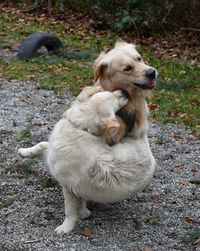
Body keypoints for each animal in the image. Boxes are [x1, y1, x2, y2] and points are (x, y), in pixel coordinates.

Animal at [18, 41, 157, 235]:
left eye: (116, 102)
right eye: (113, 97)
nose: (125, 93)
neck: (80, 125)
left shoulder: (68, 186)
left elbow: (70, 210)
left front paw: (66, 227)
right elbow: (42, 144)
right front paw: (24, 152)